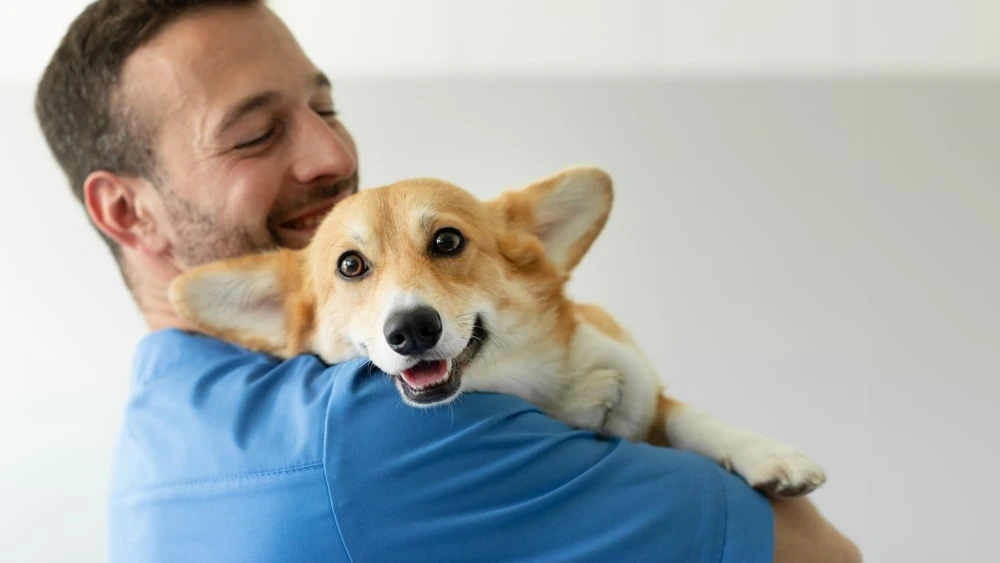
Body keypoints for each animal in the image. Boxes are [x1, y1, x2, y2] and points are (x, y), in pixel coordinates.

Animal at [170, 167, 828, 498]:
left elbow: (683, 414)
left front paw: (767, 453)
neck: (529, 380)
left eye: (447, 241)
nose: (411, 329)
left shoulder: (640, 376)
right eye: (350, 265)